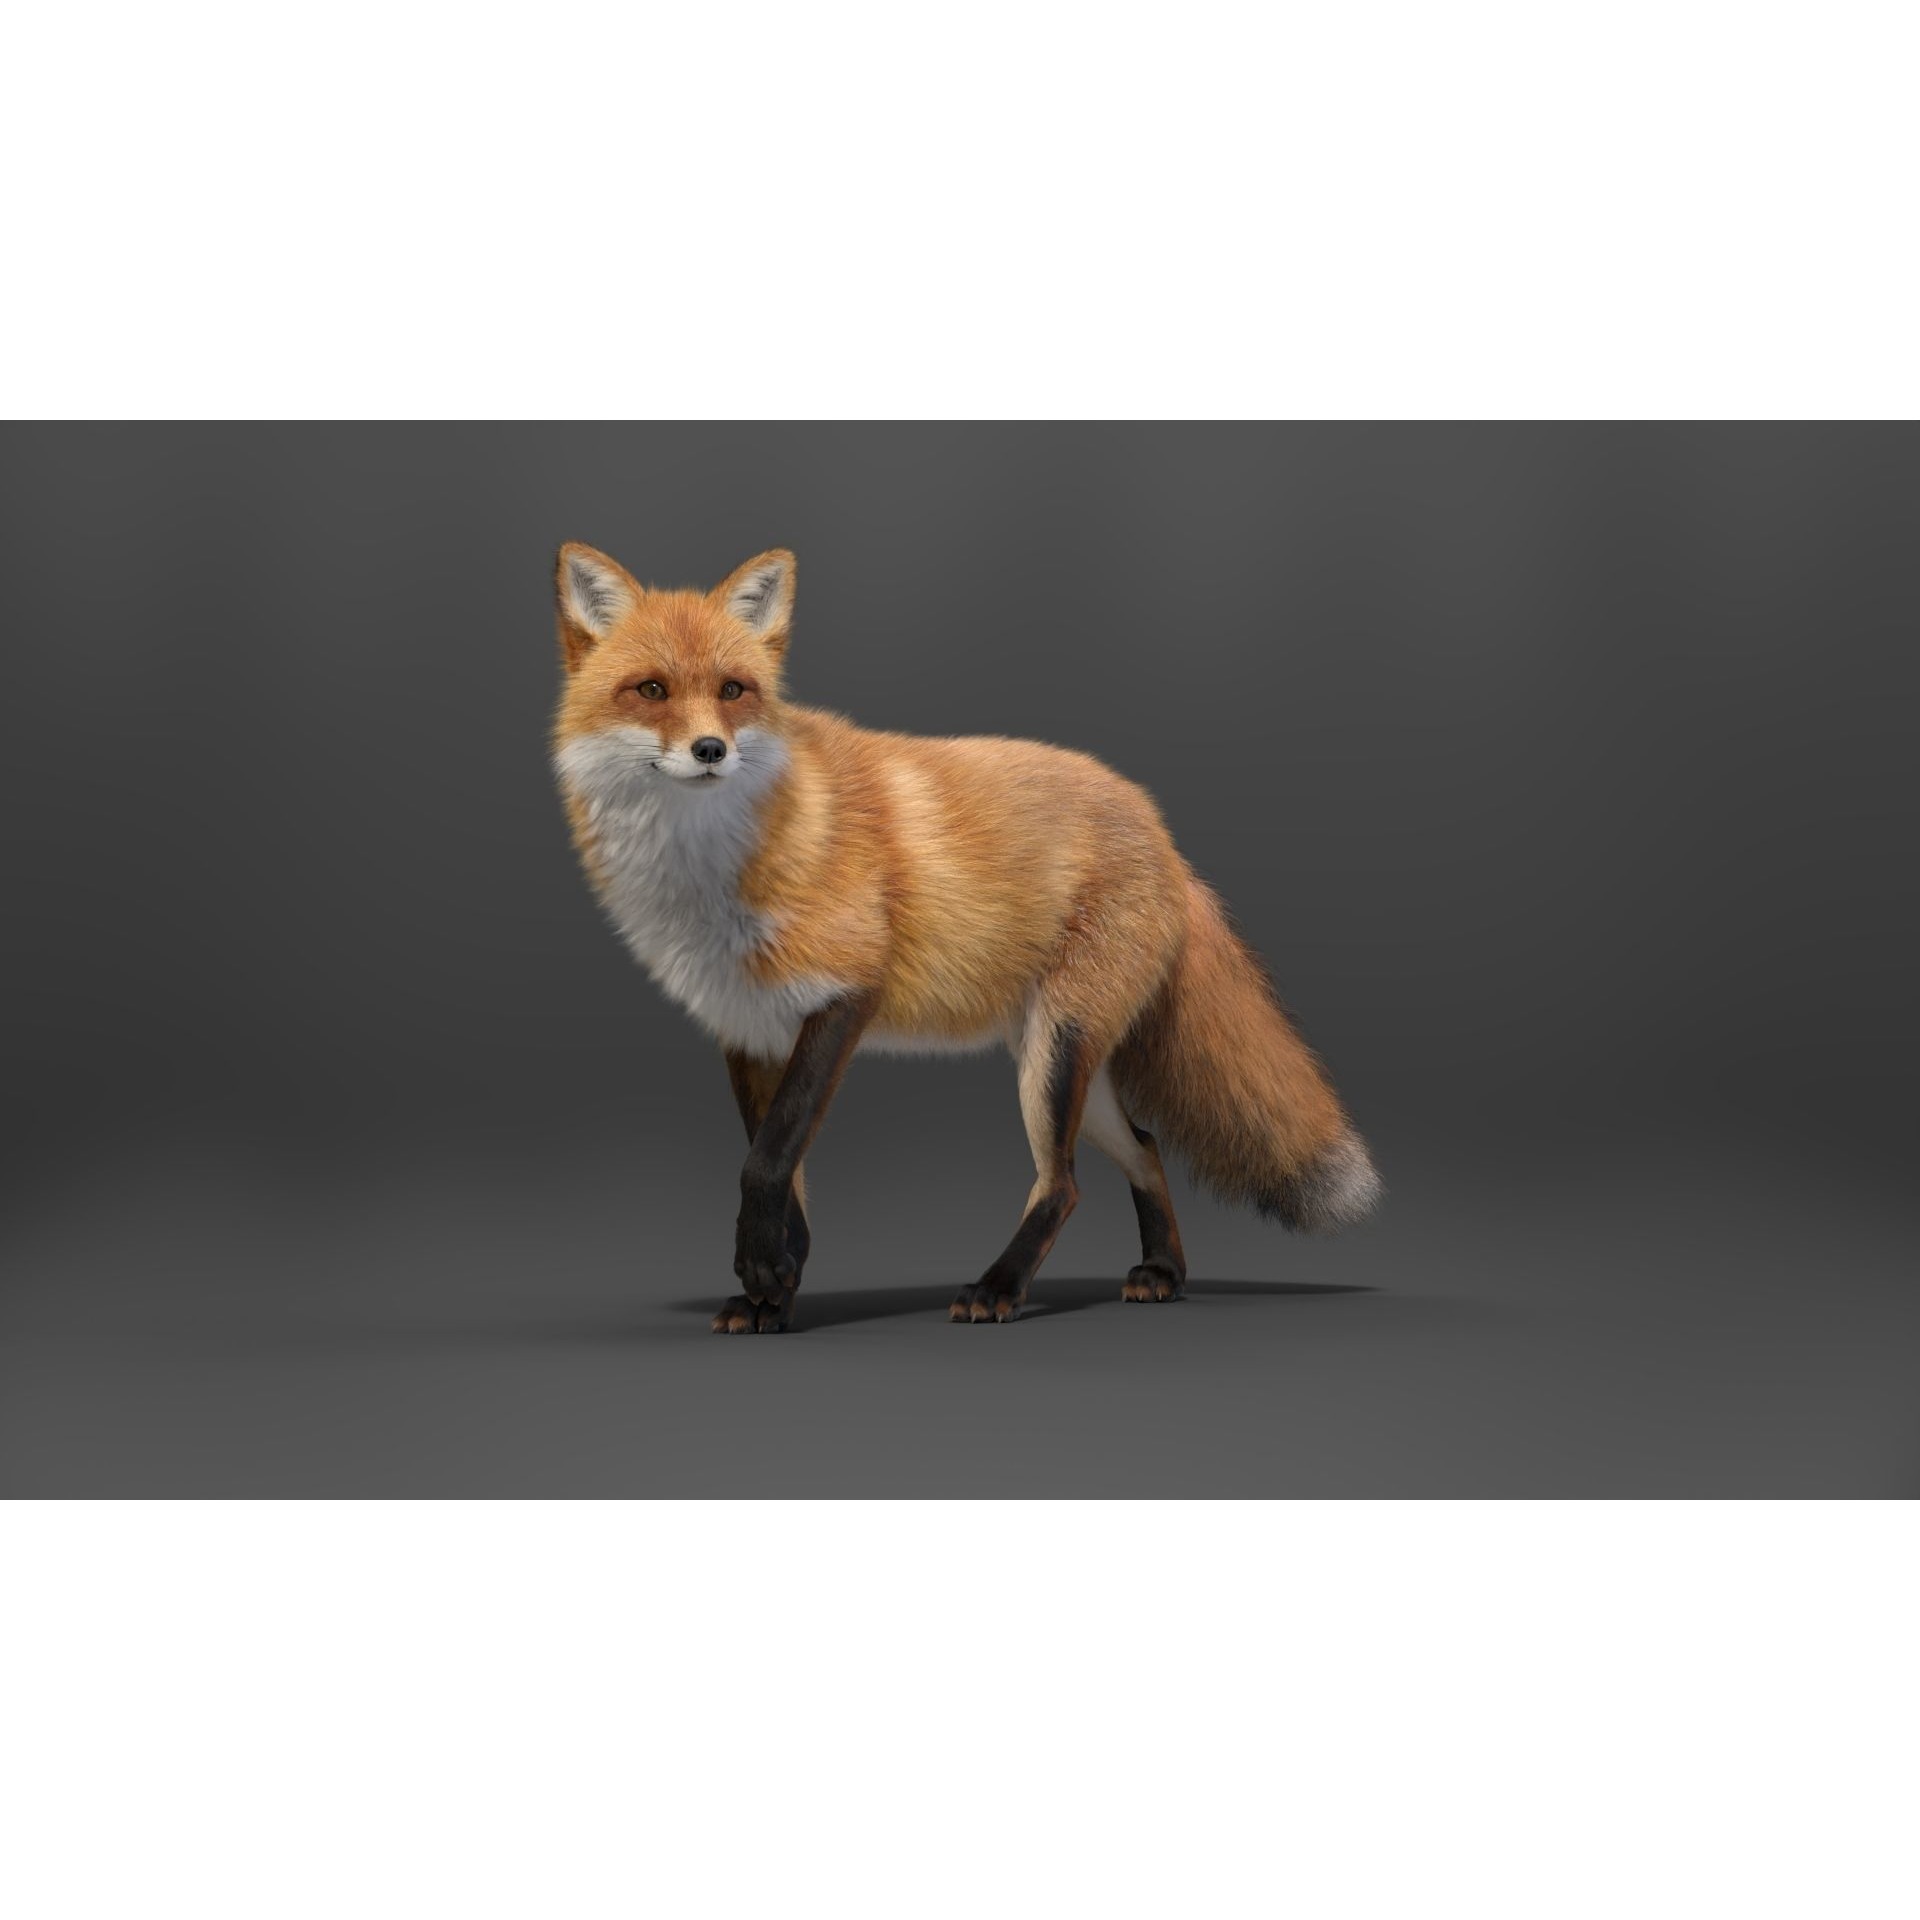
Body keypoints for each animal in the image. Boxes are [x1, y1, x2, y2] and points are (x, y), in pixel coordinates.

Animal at [551, 542, 1381, 1333]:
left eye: (733, 691)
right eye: (651, 691)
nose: (711, 751)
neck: (713, 874)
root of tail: (1160, 832)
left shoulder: (844, 1000)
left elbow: (766, 1162)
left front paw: (763, 1276)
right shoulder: (749, 1032)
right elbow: (786, 1182)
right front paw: (772, 1293)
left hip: (1053, 1058)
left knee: (1064, 1183)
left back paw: (1000, 1288)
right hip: (1065, 1063)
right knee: (1144, 1147)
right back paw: (1163, 1273)